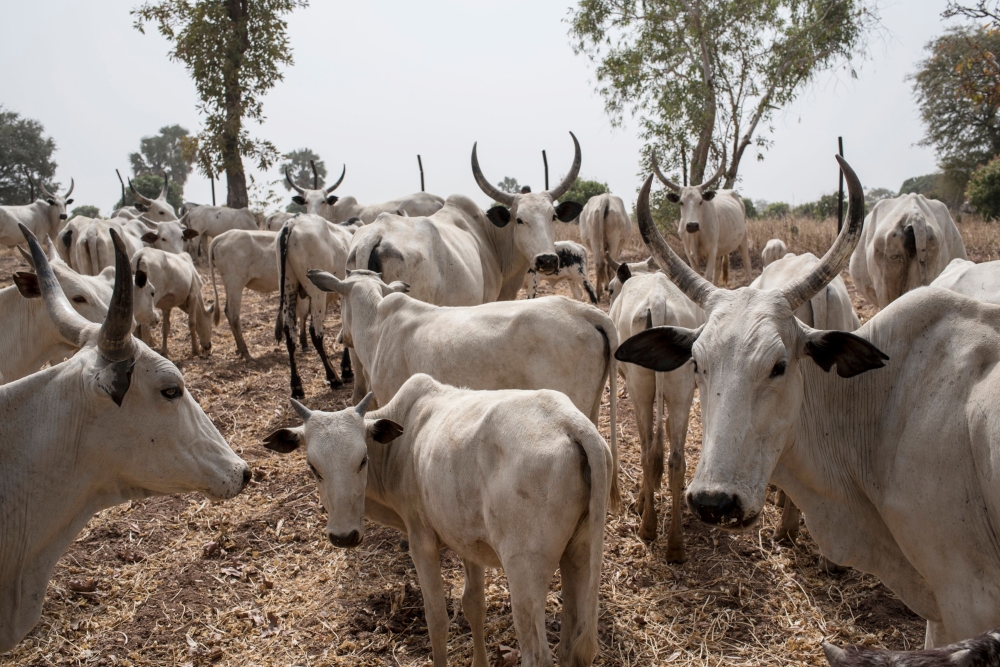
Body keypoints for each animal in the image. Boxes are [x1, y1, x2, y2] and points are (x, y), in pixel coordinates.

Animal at [262, 375, 611, 667]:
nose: (343, 536)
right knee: (572, 647)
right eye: (313, 468)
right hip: (578, 555)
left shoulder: (422, 542)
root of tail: (569, 421)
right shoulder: (470, 542)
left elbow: (437, 620)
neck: (402, 445)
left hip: (524, 570)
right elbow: (474, 605)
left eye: (362, 460)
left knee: (538, 654)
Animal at [277, 215, 355, 397]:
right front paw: (346, 370)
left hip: (288, 289)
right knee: (315, 332)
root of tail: (292, 222)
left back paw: (297, 386)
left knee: (290, 333)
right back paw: (333, 378)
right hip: (317, 293)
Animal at [609, 266, 704, 559]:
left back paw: (648, 526)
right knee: (676, 460)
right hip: (682, 389)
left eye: (609, 289)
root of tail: (658, 300)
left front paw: (641, 501)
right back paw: (675, 545)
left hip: (638, 387)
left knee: (648, 452)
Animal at [651, 150, 751, 285]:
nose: (692, 225)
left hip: (743, 240)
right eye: (681, 202)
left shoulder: (711, 252)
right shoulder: (690, 254)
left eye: (700, 201)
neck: (696, 235)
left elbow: (707, 277)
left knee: (747, 264)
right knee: (718, 270)